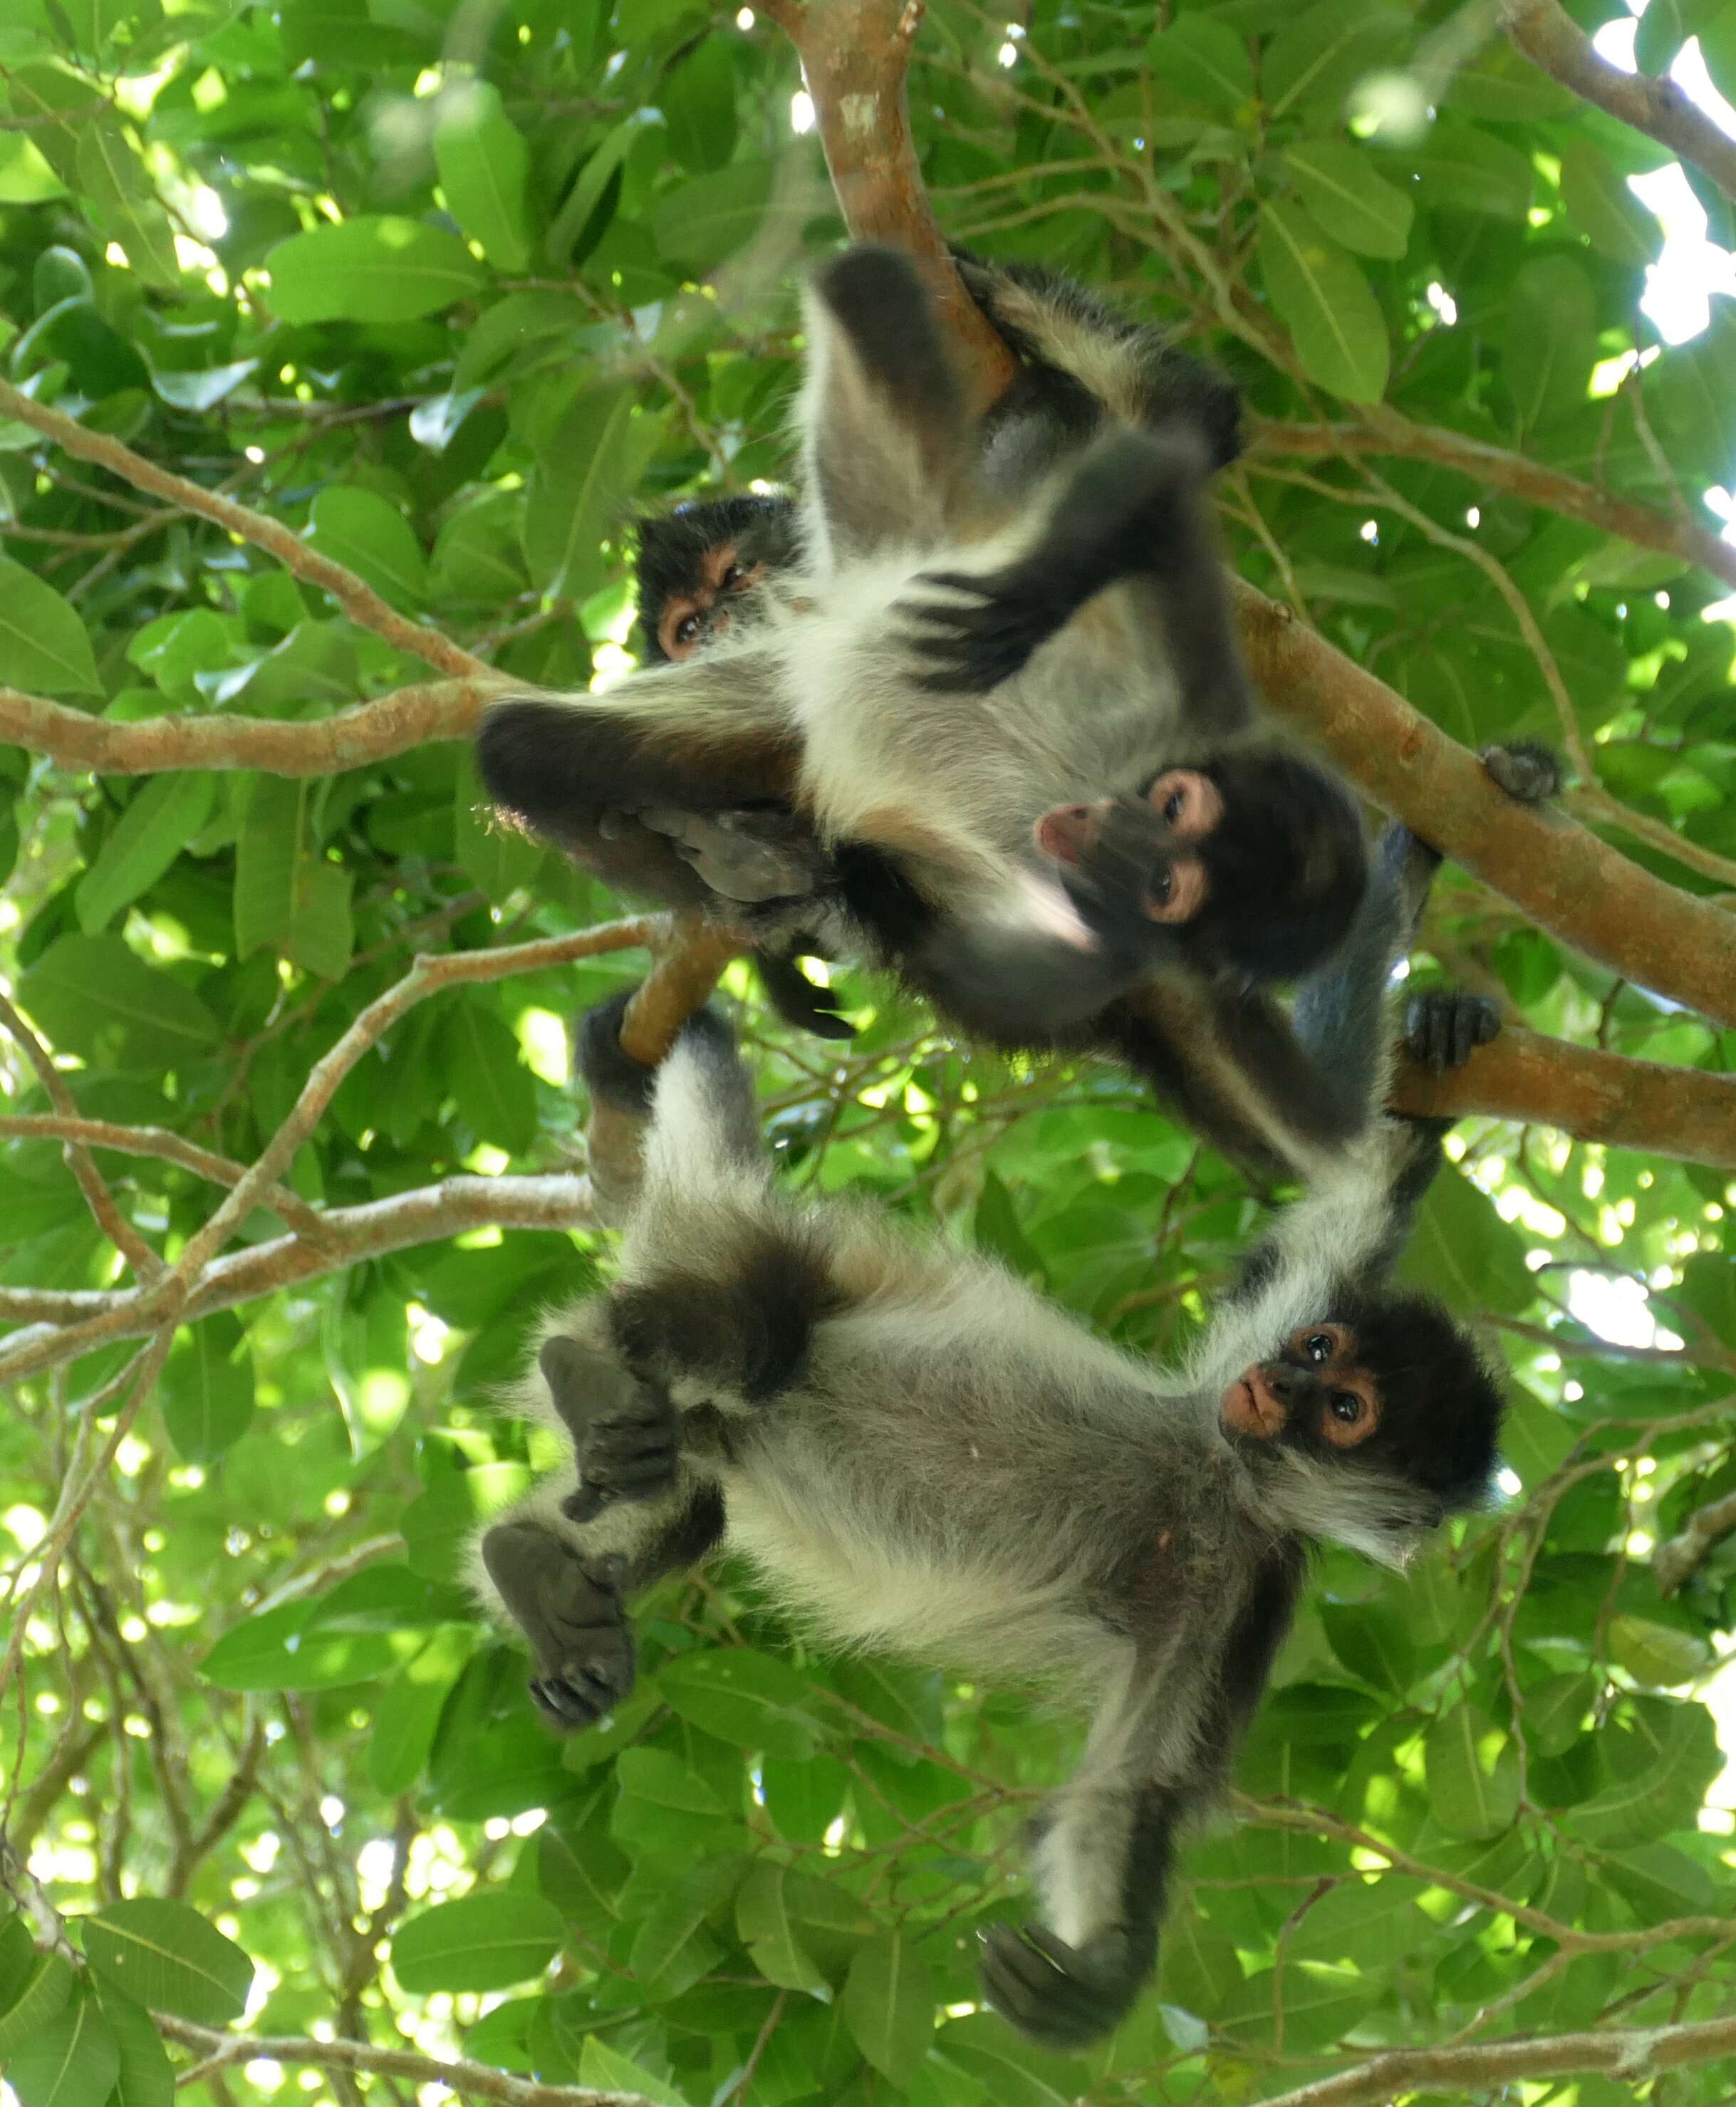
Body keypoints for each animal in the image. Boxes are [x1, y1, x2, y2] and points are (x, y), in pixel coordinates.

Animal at [463, 813, 1508, 2048]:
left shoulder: (1244, 1585)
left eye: (1346, 1412)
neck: (1219, 1478)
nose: (1278, 1391)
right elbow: (1350, 1175)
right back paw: (583, 1368)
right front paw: (1439, 974)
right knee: (758, 1336)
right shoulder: (1257, 1349)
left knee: (698, 1463)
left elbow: (1126, 1793)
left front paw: (1102, 1975)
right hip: (775, 1253)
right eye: (1315, 1354)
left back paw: (537, 1566)